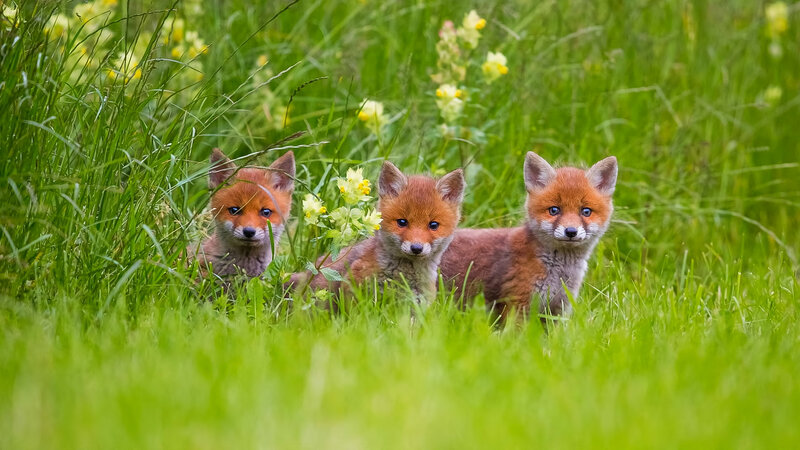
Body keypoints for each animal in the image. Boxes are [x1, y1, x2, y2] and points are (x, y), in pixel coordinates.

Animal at [440, 151, 617, 321]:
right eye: (554, 210)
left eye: (586, 211)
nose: (571, 231)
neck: (558, 273)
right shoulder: (518, 303)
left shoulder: (557, 309)